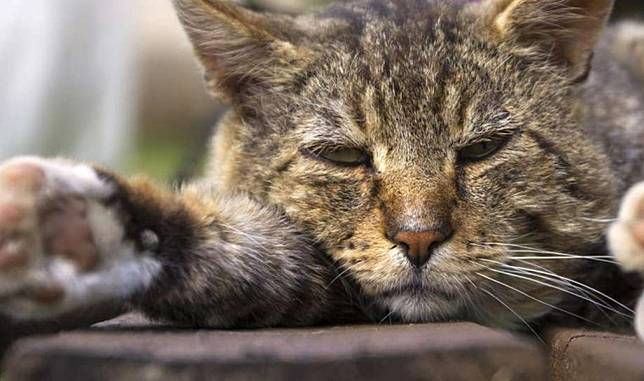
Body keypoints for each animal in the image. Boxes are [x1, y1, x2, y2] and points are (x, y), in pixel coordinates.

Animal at [1, 0, 644, 336]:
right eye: (343, 155)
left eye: (483, 149)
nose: (418, 237)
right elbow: (246, 257)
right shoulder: (322, 278)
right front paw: (73, 231)